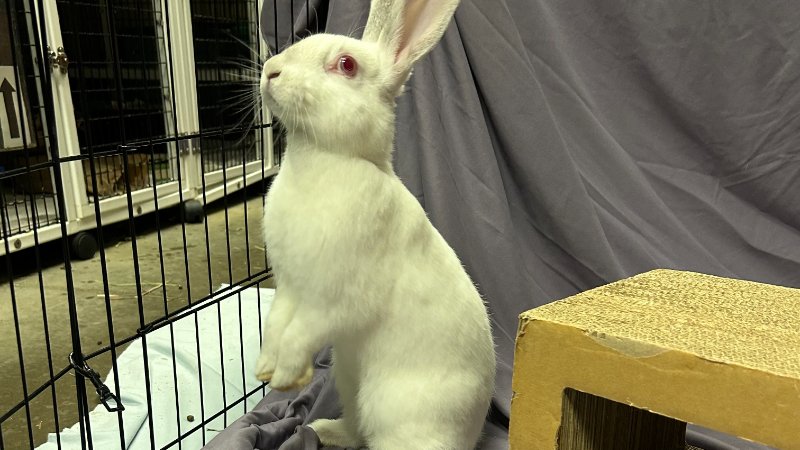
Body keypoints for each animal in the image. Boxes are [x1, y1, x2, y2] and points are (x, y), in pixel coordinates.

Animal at [254, 1, 495, 449]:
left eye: (347, 65)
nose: (271, 70)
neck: (328, 157)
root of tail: (472, 434)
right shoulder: (289, 287)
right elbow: (275, 324)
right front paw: (265, 369)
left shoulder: (334, 298)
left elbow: (300, 333)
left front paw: (285, 377)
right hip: (349, 383)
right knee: (355, 429)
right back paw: (322, 429)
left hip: (398, 414)